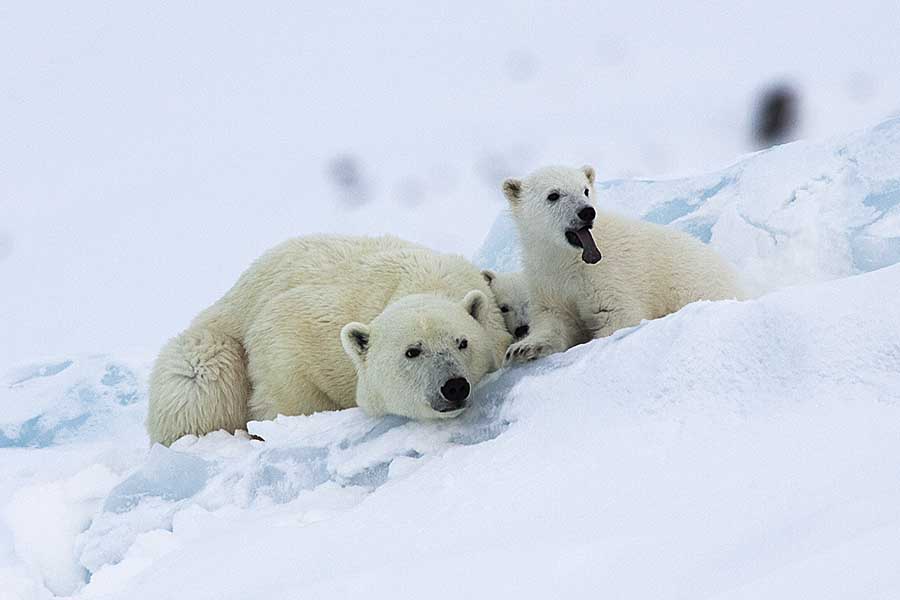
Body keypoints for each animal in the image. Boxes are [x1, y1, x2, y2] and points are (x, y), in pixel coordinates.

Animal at [149, 234, 512, 446]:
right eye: (412, 351)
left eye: (462, 342)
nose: (454, 386)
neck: (428, 279)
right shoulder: (299, 328)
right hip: (215, 343)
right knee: (195, 384)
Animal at [502, 164, 740, 364]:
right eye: (553, 195)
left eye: (585, 190)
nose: (587, 212)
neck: (570, 258)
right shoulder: (546, 278)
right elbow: (554, 319)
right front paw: (522, 348)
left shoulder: (606, 275)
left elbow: (618, 315)